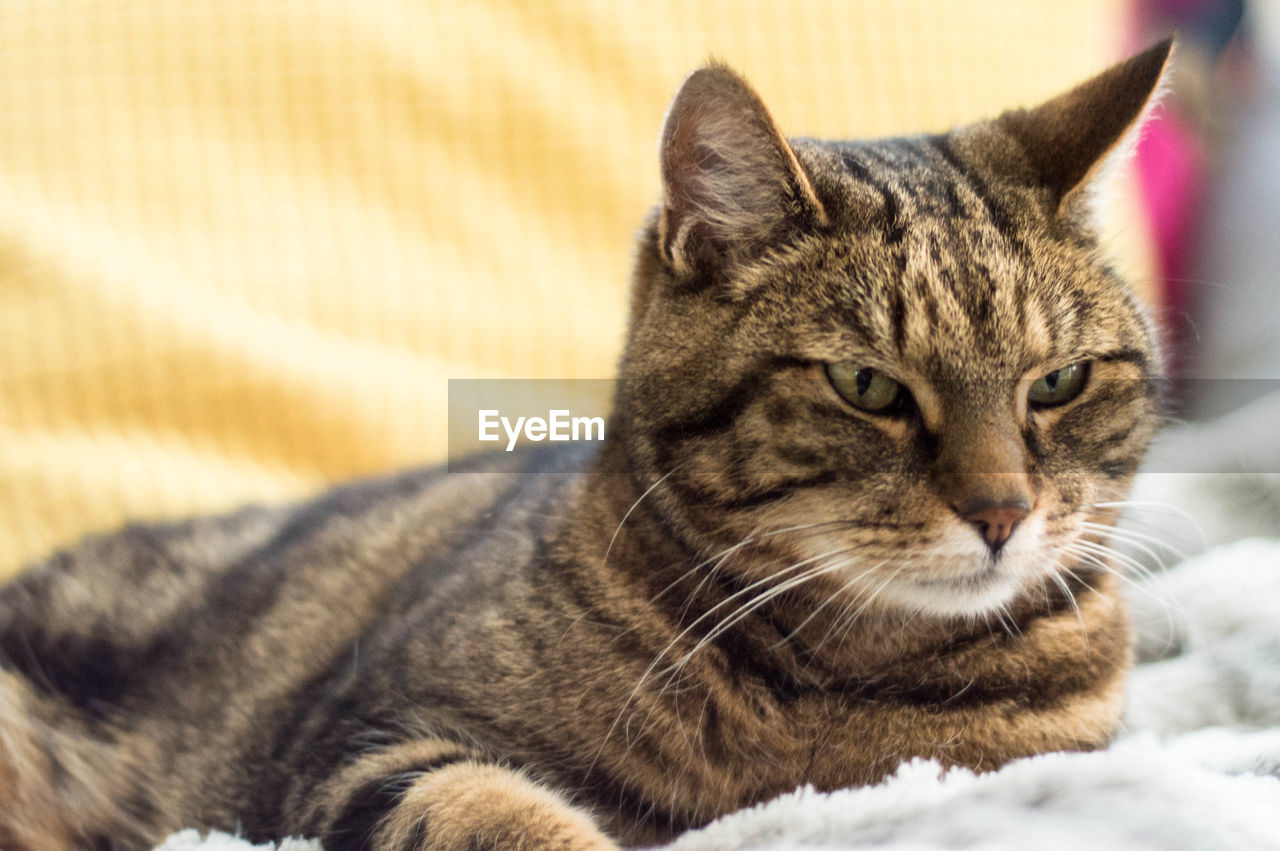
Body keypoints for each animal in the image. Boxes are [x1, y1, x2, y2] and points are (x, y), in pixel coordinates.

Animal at [0, 39, 1172, 849]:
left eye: (1057, 382)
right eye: (867, 386)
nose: (1002, 511)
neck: (840, 693)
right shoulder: (356, 745)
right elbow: (497, 809)